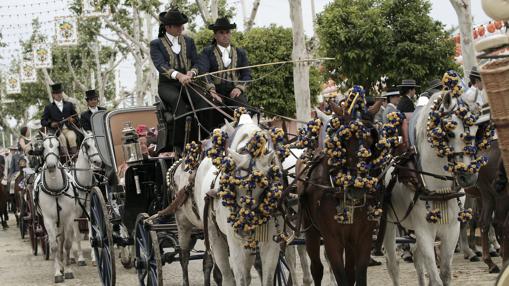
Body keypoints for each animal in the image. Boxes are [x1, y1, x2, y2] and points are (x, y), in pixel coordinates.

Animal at [35, 134, 78, 282]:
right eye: (42, 147)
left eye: (58, 146)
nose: (51, 166)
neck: (55, 190)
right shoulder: (48, 220)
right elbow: (53, 245)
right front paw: (58, 273)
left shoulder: (69, 218)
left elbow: (67, 244)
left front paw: (69, 270)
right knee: (56, 241)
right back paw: (60, 265)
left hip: (61, 222)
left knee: (62, 240)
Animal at [384, 92, 480, 286]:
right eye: (449, 132)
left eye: (475, 131)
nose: (468, 176)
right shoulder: (424, 231)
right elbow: (435, 279)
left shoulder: (452, 230)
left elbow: (445, 274)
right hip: (389, 225)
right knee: (393, 265)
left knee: (417, 259)